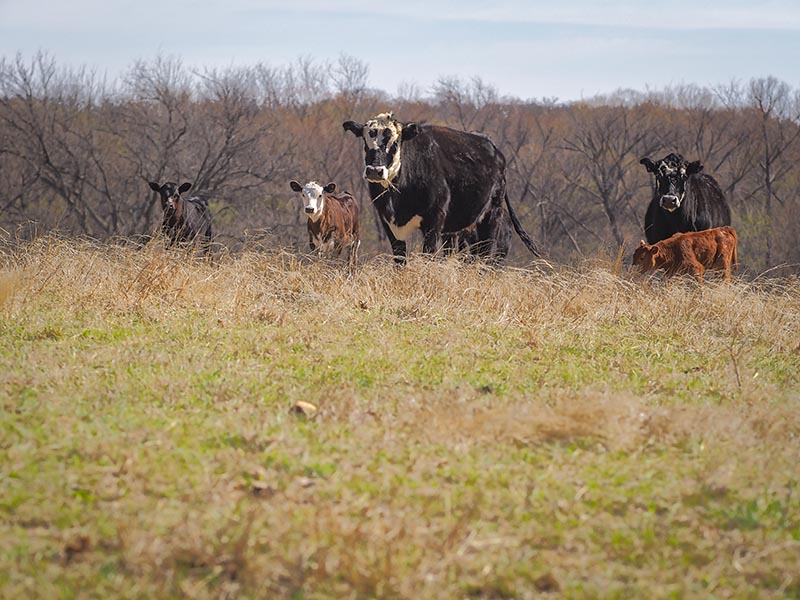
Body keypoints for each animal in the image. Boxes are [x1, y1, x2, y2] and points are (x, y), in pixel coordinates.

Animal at [342, 112, 539, 264]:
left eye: (395, 143)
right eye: (365, 141)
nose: (375, 171)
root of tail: (494, 149)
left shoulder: (434, 220)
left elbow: (427, 257)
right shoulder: (388, 222)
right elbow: (400, 259)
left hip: (491, 215)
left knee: (484, 256)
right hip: (454, 229)